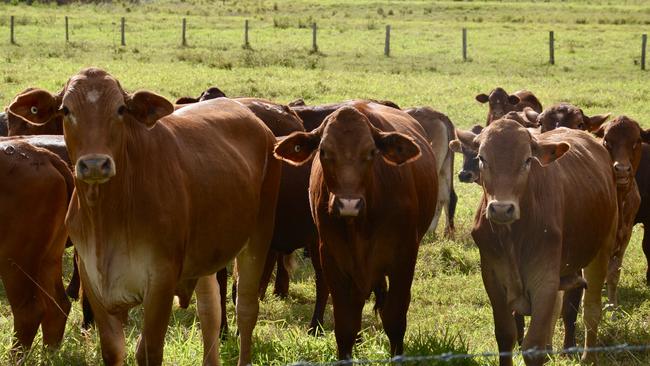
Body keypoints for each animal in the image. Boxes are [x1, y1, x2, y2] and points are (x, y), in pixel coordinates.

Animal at [0, 138, 73, 354]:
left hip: (15, 260)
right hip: (48, 258)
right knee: (58, 306)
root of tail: (41, 154)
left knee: (29, 312)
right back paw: (49, 355)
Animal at [272, 101, 436, 358]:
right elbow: (345, 325)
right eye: (323, 151)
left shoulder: (404, 258)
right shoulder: (333, 260)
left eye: (371, 152)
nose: (348, 204)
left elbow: (395, 318)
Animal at [454, 119, 616, 364]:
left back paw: (588, 357)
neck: (513, 236)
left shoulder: (545, 280)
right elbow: (505, 335)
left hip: (601, 250)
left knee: (591, 310)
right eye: (482, 158)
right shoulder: (492, 278)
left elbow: (533, 346)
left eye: (527, 160)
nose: (501, 208)